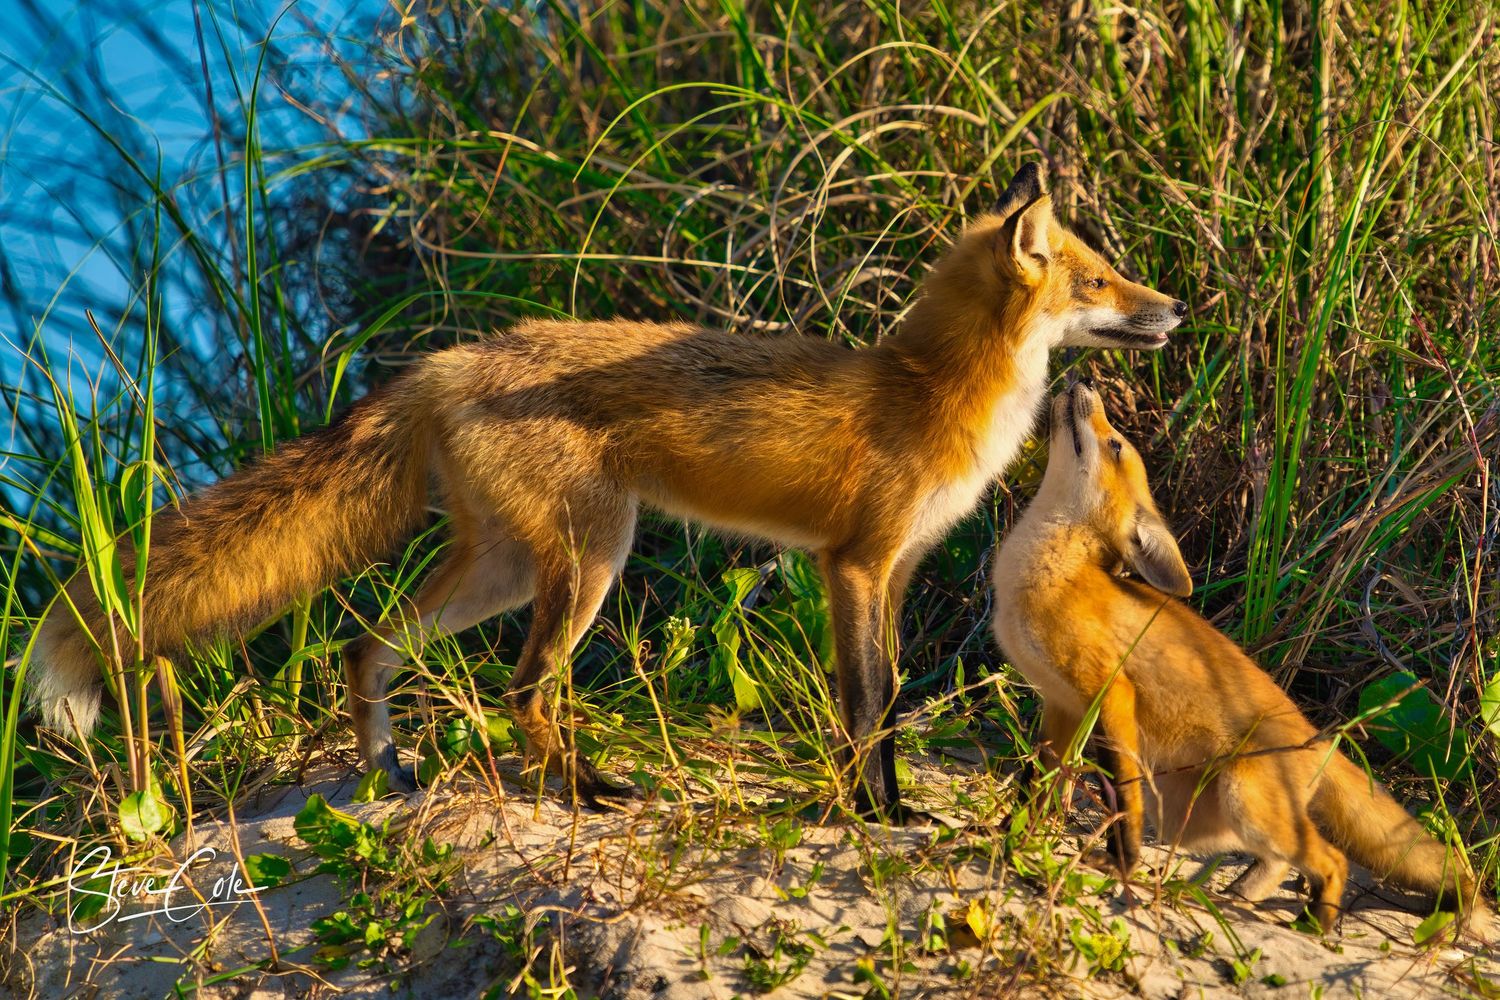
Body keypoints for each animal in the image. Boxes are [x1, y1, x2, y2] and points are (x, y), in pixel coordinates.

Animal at [31, 164, 1187, 819]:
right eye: (1098, 282)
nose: (1175, 308)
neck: (930, 391)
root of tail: (449, 359)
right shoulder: (853, 564)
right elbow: (868, 709)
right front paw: (878, 818)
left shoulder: (895, 574)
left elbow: (886, 704)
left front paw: (881, 810)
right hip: (590, 561)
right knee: (523, 689)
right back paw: (583, 793)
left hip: (503, 568)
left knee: (364, 645)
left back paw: (387, 775)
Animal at [991, 380, 1487, 931]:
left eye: (1115, 443)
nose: (1083, 385)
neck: (1049, 572)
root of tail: (1315, 736)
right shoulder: (1061, 705)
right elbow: (1036, 784)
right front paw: (1014, 834)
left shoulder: (1109, 690)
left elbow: (1123, 794)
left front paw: (1122, 861)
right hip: (1202, 823)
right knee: (1281, 861)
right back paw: (1237, 894)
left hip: (1243, 802)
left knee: (1331, 858)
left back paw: (1316, 923)